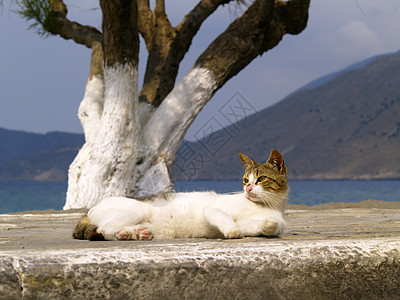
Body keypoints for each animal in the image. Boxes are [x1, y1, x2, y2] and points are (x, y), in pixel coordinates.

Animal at [73, 149, 290, 240]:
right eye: (246, 180)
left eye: (261, 179)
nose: (248, 189)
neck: (265, 205)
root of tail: (90, 210)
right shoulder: (213, 210)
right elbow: (226, 220)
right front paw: (232, 231)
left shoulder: (253, 223)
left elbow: (264, 226)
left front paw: (268, 224)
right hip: (134, 210)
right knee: (104, 229)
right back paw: (129, 234)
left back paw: (137, 233)